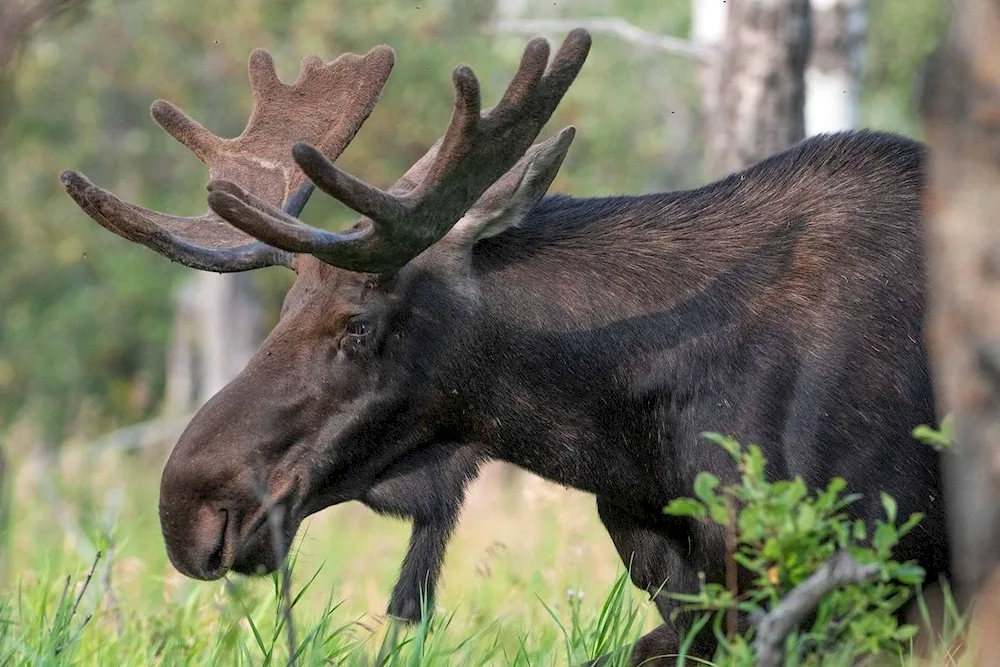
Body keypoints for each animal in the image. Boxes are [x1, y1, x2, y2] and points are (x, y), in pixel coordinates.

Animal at [58, 30, 948, 667]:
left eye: (358, 325)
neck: (628, 440)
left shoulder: (858, 570)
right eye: (283, 310)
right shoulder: (689, 589)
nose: (187, 506)